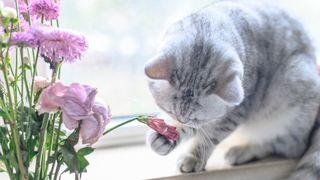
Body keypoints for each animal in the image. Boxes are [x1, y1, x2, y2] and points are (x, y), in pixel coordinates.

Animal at [144, 0, 320, 179]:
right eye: (170, 111)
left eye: (197, 118)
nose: (182, 120)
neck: (207, 27)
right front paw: (164, 134)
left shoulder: (236, 110)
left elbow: (209, 138)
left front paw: (192, 157)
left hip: (293, 89)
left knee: (286, 145)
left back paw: (241, 151)